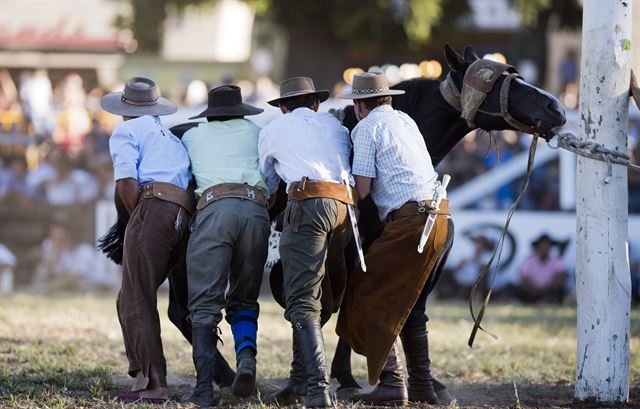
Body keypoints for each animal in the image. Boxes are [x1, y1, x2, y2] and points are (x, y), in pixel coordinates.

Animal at [160, 43, 564, 388]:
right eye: (492, 79)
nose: (556, 109)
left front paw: (349, 375)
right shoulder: (356, 250)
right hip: (185, 259)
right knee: (184, 312)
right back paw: (227, 376)